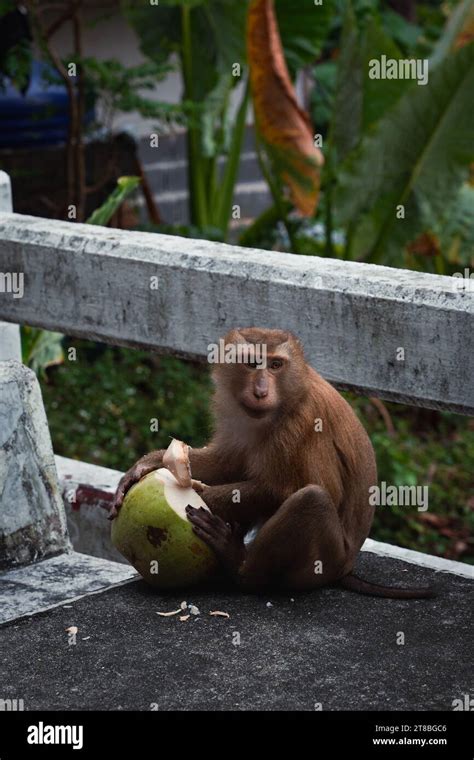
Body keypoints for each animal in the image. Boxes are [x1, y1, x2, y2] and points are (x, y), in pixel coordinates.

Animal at [110, 326, 434, 600]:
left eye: (276, 365)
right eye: (252, 363)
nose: (261, 391)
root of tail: (347, 566)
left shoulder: (301, 423)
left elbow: (286, 490)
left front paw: (199, 498)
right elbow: (227, 463)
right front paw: (146, 466)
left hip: (323, 563)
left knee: (312, 499)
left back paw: (240, 567)